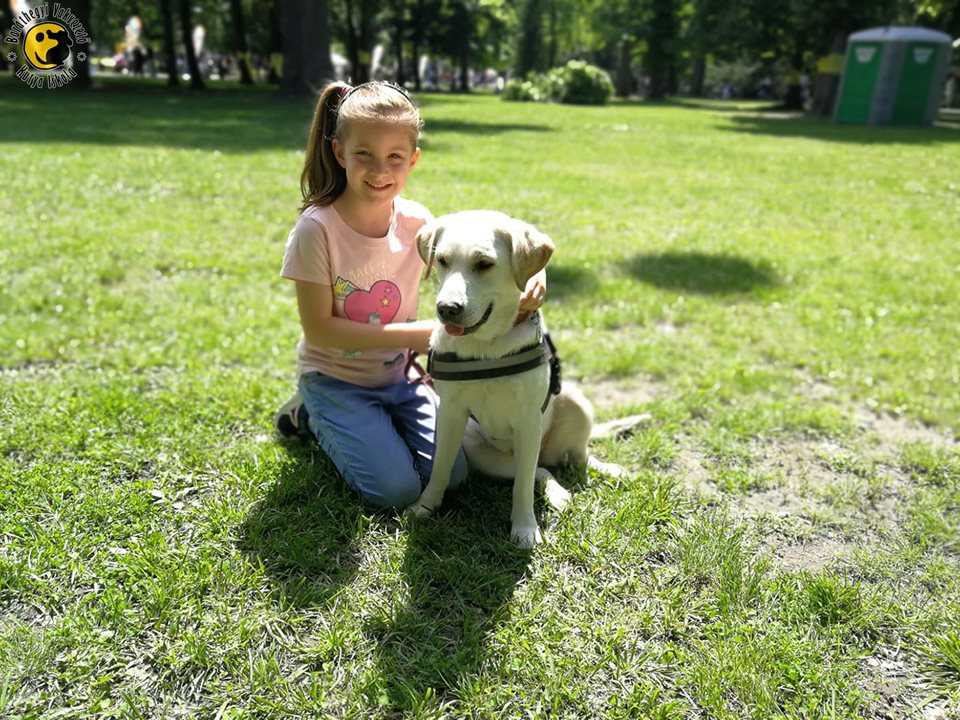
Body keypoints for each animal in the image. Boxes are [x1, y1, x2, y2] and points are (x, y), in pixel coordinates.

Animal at [407, 210, 644, 548]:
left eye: (484, 264)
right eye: (441, 260)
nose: (447, 309)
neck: (486, 347)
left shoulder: (528, 420)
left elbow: (522, 486)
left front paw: (524, 528)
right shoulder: (451, 413)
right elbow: (440, 467)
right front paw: (424, 507)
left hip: (575, 404)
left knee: (575, 460)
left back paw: (606, 471)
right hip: (483, 453)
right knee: (542, 470)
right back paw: (558, 493)